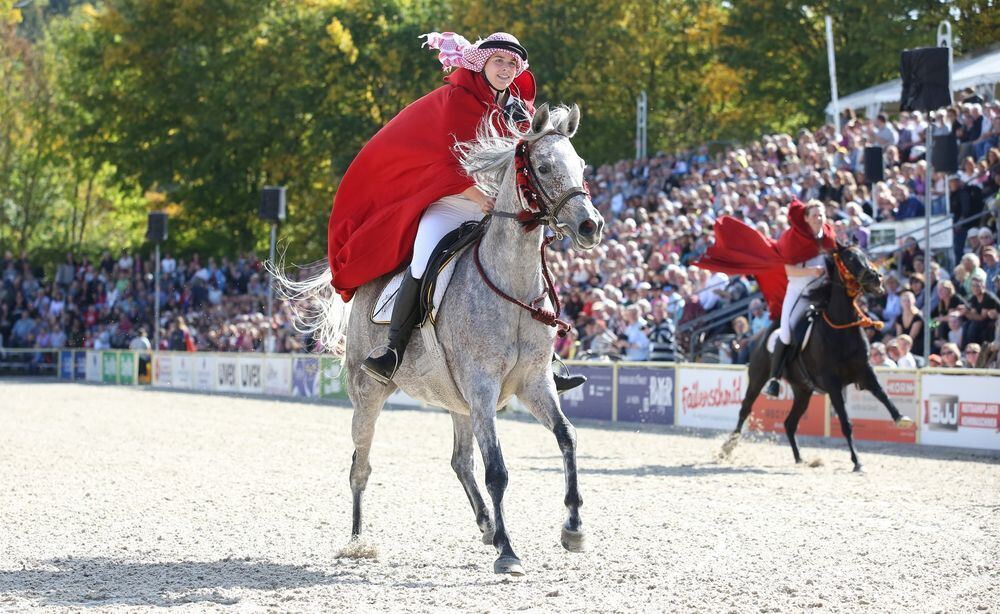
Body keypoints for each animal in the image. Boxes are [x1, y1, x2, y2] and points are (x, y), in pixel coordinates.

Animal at [278, 106, 600, 576]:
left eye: (582, 166)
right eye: (543, 168)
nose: (590, 226)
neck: (512, 284)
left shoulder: (533, 383)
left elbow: (568, 438)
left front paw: (573, 528)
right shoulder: (483, 386)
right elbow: (498, 470)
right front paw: (509, 552)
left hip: (457, 400)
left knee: (460, 461)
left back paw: (486, 525)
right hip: (369, 395)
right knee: (360, 466)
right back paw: (357, 541)